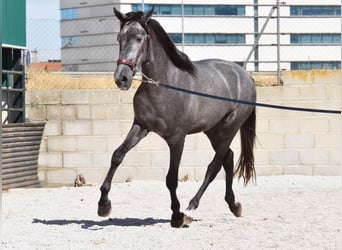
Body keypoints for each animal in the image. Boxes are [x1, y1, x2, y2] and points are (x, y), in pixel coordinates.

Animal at [97, 6, 255, 228]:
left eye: (139, 38)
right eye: (119, 38)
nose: (122, 78)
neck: (165, 84)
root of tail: (245, 75)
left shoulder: (177, 139)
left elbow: (171, 178)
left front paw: (177, 215)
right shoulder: (141, 126)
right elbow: (117, 156)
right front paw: (103, 205)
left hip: (229, 129)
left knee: (215, 166)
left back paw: (191, 208)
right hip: (213, 131)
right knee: (229, 159)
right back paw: (234, 205)